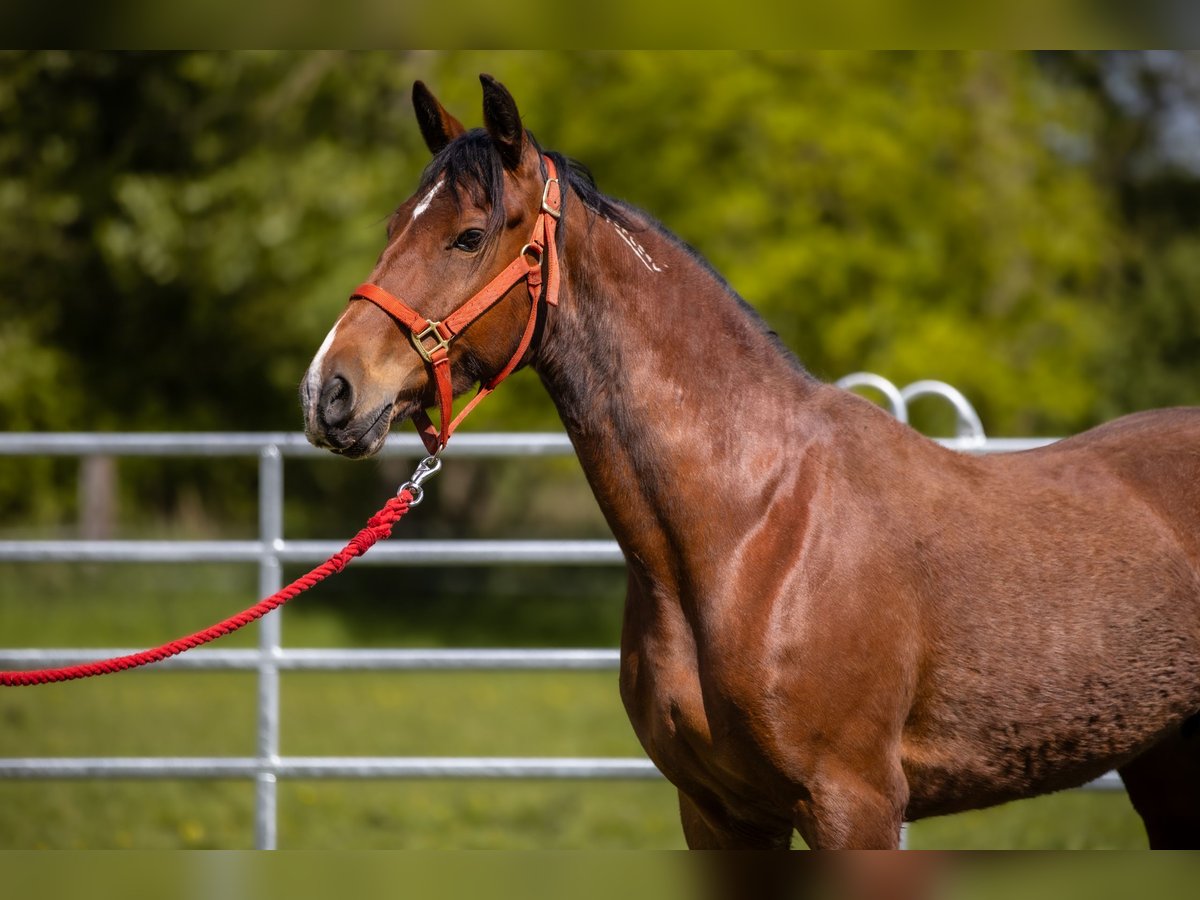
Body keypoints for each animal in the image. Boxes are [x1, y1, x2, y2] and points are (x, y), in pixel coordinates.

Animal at [302, 74, 1200, 849]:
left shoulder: (854, 804)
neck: (754, 526)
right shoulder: (719, 811)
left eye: (468, 236)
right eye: (393, 226)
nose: (328, 391)